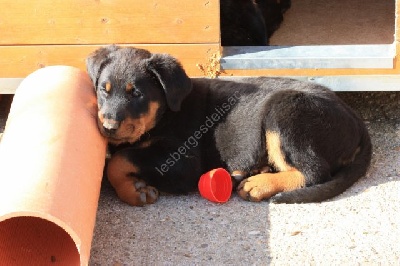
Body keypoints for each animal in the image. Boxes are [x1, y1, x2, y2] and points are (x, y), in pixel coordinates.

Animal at [86, 45, 372, 207]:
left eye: (137, 94)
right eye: (103, 90)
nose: (108, 127)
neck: (165, 114)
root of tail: (357, 120)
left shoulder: (182, 163)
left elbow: (119, 160)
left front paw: (134, 191)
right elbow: (119, 156)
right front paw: (135, 187)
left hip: (285, 110)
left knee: (314, 172)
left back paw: (258, 184)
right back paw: (250, 172)